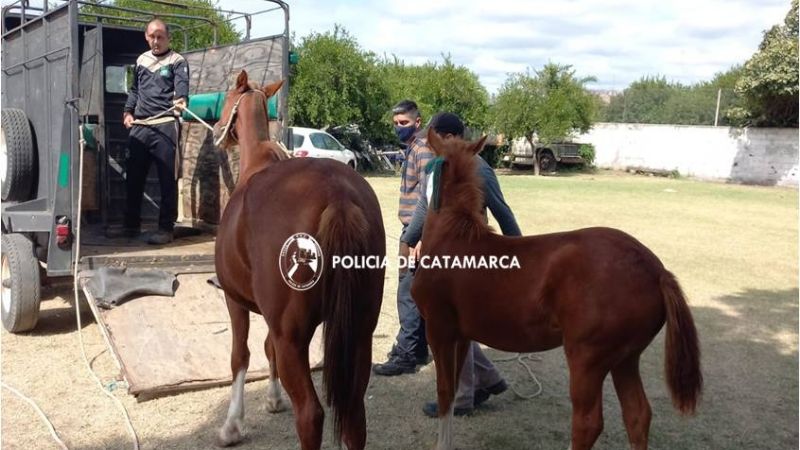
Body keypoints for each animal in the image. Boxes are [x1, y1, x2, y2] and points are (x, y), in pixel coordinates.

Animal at [212, 70, 386, 450]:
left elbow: (240, 356)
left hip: (293, 337)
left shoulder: (235, 301)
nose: (217, 129)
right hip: (360, 330)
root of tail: (338, 194)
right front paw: (273, 399)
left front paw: (232, 425)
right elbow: (266, 349)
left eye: (227, 99)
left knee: (310, 414)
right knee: (355, 414)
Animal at [410, 128, 702, 450]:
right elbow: (453, 390)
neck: (453, 238)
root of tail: (656, 271)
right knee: (637, 415)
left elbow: (444, 393)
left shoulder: (439, 329)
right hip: (626, 359)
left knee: (588, 422)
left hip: (586, 358)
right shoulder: (461, 336)